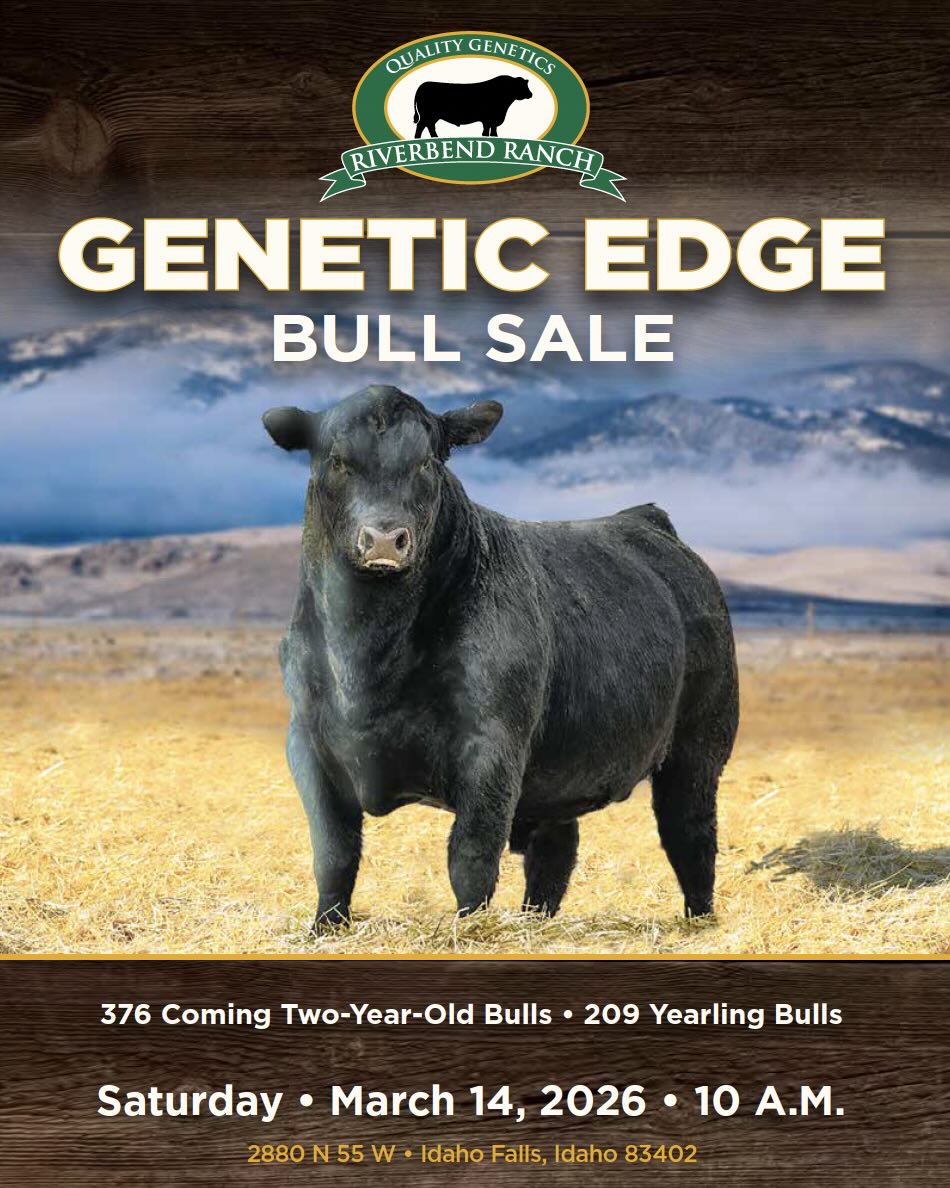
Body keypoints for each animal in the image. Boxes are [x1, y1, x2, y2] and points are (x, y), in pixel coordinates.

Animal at [263, 385, 739, 931]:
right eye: (338, 460)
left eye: (427, 463)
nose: (384, 539)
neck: (369, 653)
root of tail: (645, 520)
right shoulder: (308, 743)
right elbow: (334, 853)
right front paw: (325, 926)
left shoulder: (491, 745)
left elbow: (470, 855)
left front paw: (467, 928)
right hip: (563, 768)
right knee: (556, 850)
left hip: (699, 745)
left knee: (691, 836)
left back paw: (700, 920)